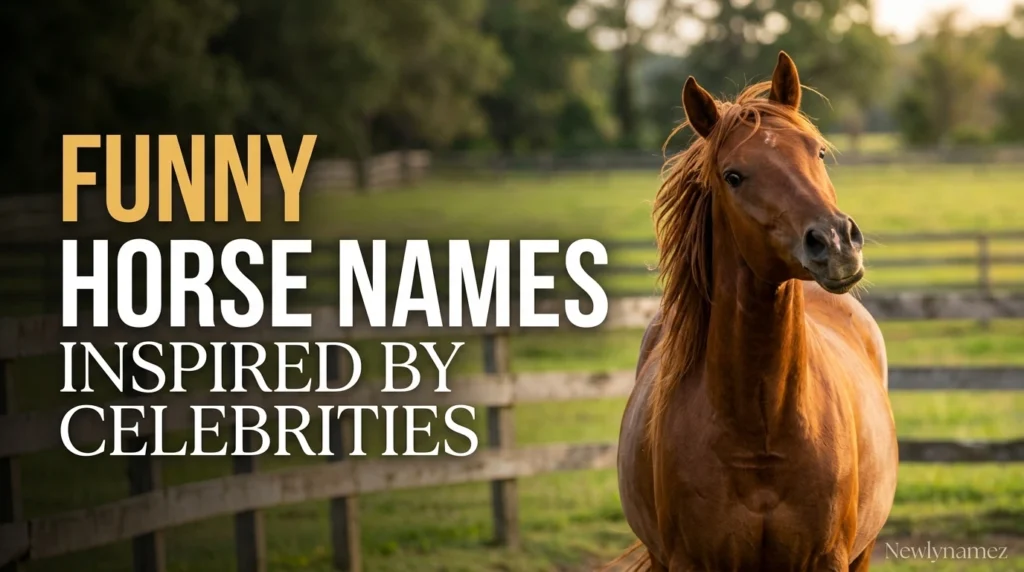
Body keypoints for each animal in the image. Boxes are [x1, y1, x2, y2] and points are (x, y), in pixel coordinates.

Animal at [614, 52, 899, 571]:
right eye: (734, 175)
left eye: (817, 152)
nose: (836, 243)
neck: (761, 429)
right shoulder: (687, 561)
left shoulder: (830, 557)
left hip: (863, 552)